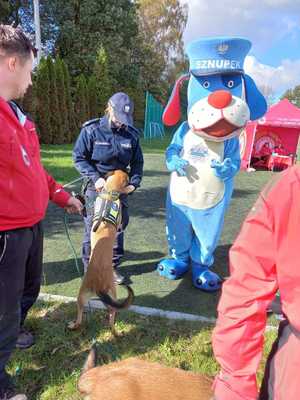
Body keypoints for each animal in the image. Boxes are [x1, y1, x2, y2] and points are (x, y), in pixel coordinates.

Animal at [68, 170, 134, 336]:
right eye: (126, 175)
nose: (129, 171)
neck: (109, 194)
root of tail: (97, 285)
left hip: (81, 296)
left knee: (79, 318)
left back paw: (73, 325)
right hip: (113, 293)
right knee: (112, 315)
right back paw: (116, 332)